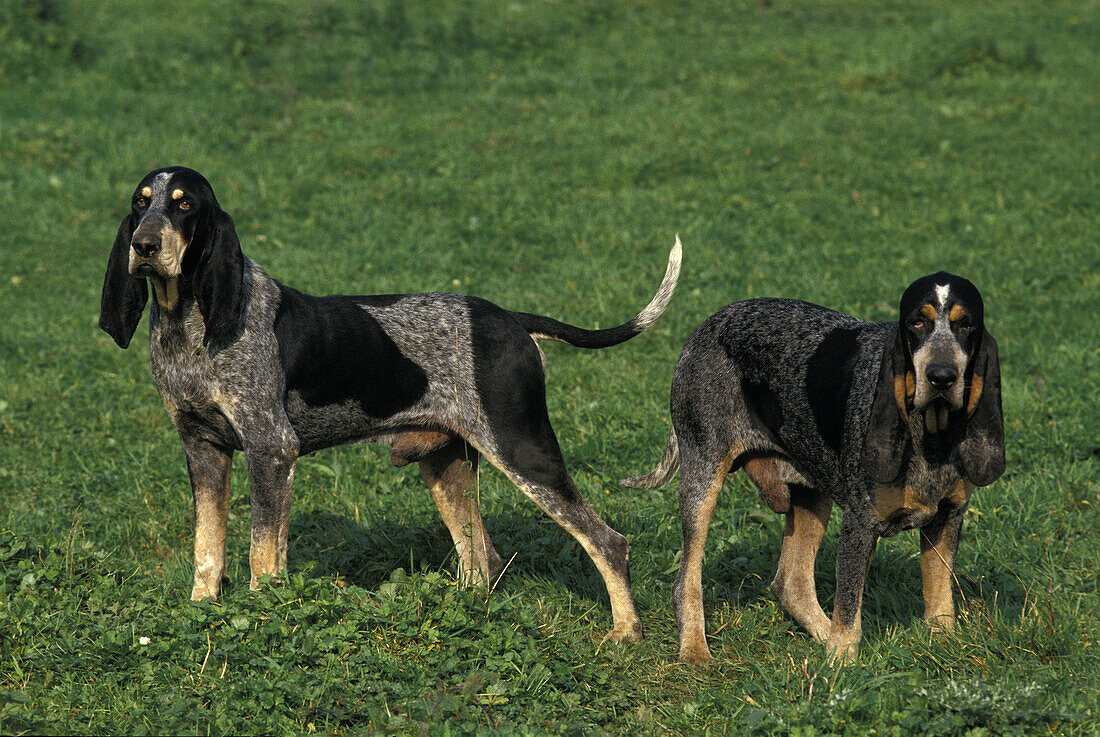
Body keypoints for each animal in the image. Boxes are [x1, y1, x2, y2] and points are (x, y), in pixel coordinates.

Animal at [99, 166, 677, 642]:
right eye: (140, 203)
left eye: (184, 206)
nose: (144, 246)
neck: (188, 325)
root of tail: (511, 319)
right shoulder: (204, 451)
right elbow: (208, 547)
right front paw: (202, 612)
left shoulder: (271, 450)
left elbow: (262, 554)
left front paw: (262, 619)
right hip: (445, 467)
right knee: (482, 557)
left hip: (524, 452)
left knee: (608, 542)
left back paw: (626, 632)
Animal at [624, 276, 1003, 664]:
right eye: (917, 323)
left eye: (966, 325)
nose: (942, 377)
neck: (930, 436)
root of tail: (708, 324)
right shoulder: (859, 526)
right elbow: (849, 610)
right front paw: (841, 665)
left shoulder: (947, 517)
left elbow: (940, 596)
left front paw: (944, 646)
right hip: (703, 481)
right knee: (686, 579)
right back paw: (695, 650)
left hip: (811, 494)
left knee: (791, 584)